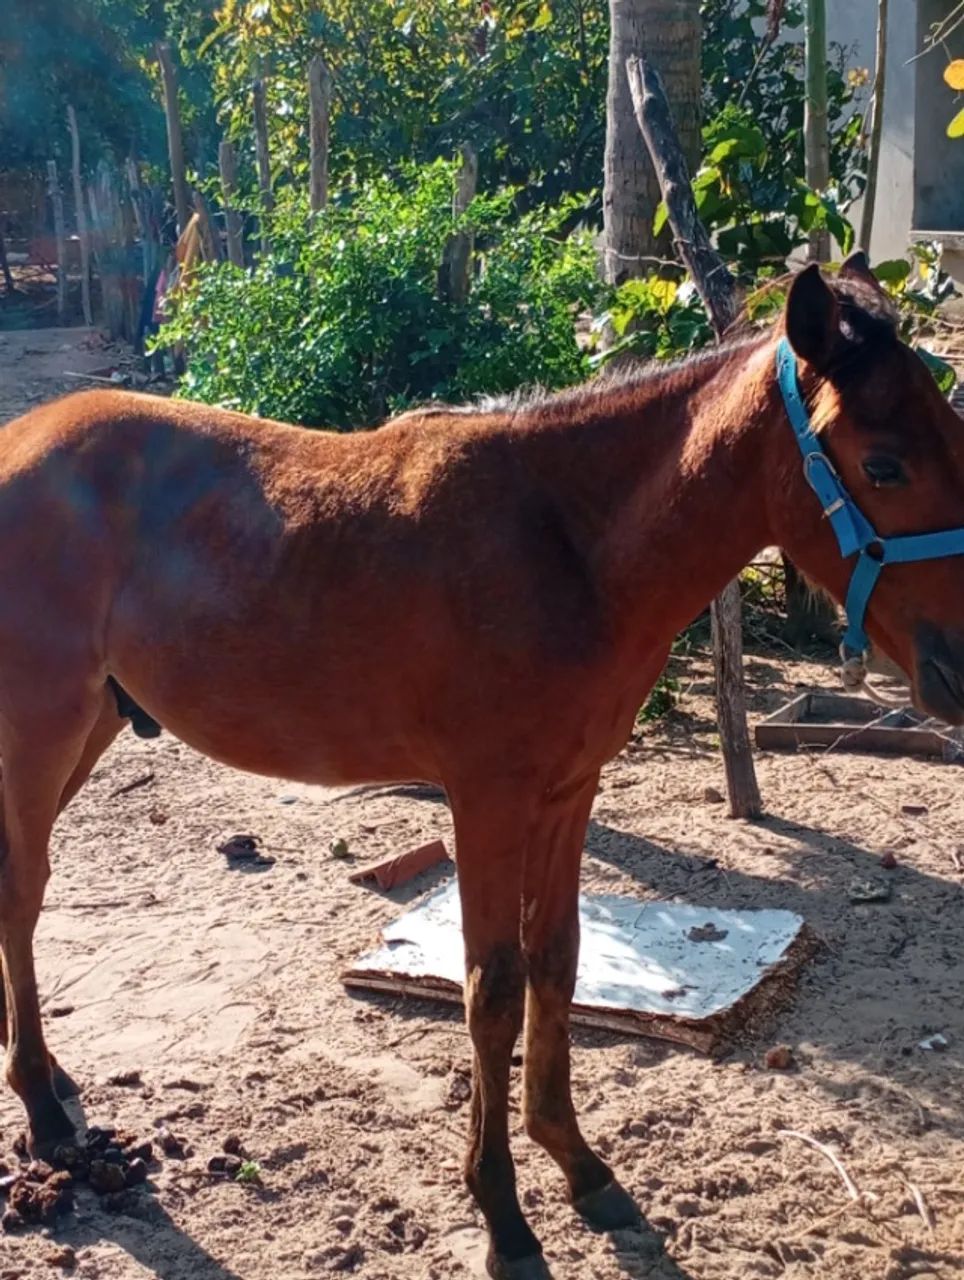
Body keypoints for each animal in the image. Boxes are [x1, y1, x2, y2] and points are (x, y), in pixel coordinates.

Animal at [1, 255, 963, 1279]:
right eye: (884, 463)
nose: (961, 664)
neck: (566, 546)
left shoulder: (569, 791)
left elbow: (558, 960)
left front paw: (576, 1162)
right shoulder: (487, 801)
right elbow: (493, 990)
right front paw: (503, 1213)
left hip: (91, 728)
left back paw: (51, 1073)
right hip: (40, 729)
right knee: (21, 892)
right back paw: (40, 1104)